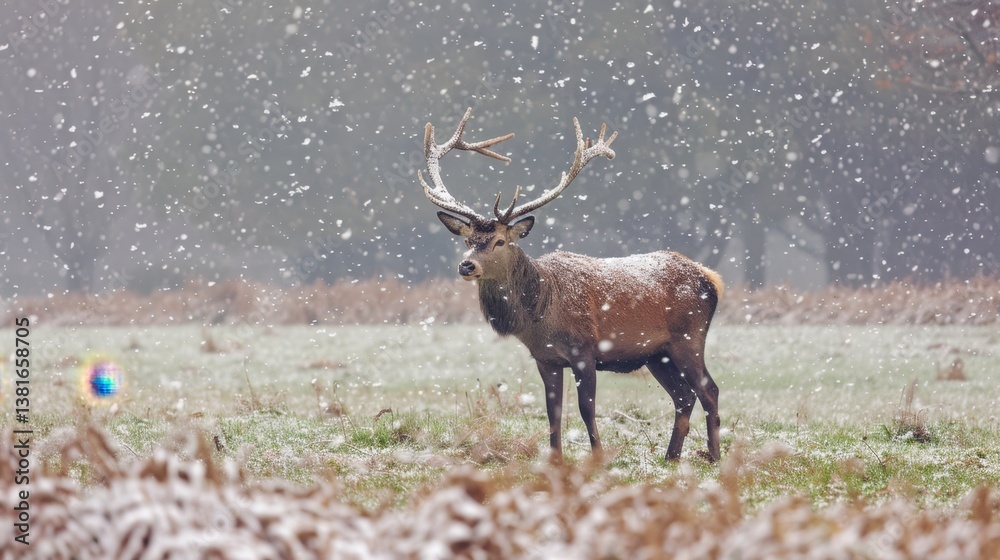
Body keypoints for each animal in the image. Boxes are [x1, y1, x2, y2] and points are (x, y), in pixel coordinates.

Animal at [418, 108, 724, 462]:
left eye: (499, 241)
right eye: (468, 240)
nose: (466, 265)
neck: (541, 312)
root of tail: (711, 278)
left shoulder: (584, 351)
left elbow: (586, 408)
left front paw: (598, 457)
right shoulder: (545, 358)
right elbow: (553, 412)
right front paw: (555, 459)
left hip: (689, 337)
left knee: (708, 389)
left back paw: (714, 455)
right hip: (656, 354)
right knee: (683, 396)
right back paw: (671, 456)